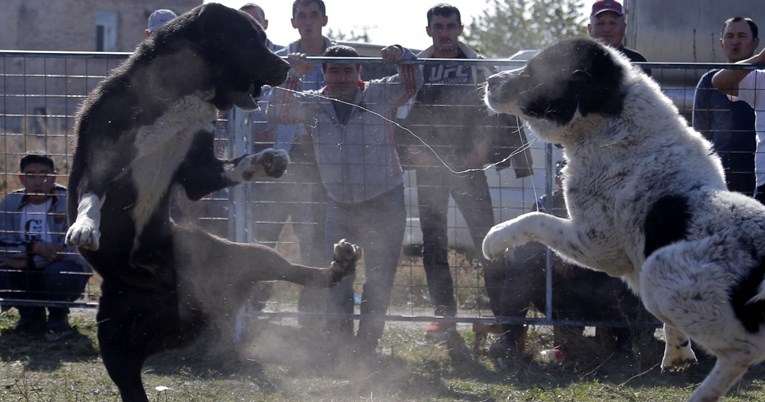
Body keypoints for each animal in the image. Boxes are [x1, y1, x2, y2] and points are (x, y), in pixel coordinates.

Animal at [65, 3, 358, 402]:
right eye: (250, 39)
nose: (286, 67)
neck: (179, 93)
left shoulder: (198, 169)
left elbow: (231, 168)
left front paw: (267, 161)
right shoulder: (102, 156)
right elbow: (91, 195)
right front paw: (85, 226)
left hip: (245, 255)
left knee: (298, 272)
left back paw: (341, 264)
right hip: (114, 338)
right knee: (129, 382)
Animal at [480, 37, 764, 398]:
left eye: (532, 72)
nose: (490, 80)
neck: (609, 125)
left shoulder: (599, 245)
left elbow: (533, 220)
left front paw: (493, 240)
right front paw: (678, 352)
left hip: (659, 272)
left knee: (744, 350)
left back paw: (702, 394)